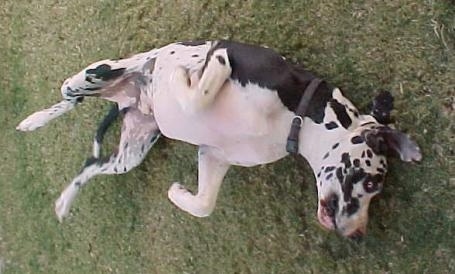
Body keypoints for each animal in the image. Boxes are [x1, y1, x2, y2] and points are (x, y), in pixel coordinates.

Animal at [16, 39, 422, 239]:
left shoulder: (214, 156)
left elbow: (204, 204)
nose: (358, 236)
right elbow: (199, 87)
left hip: (129, 155)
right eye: (371, 182)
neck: (297, 120)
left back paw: (64, 203)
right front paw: (194, 67)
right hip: (92, 74)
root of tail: (127, 98)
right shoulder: (222, 67)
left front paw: (177, 193)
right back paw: (34, 120)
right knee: (69, 98)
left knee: (90, 165)